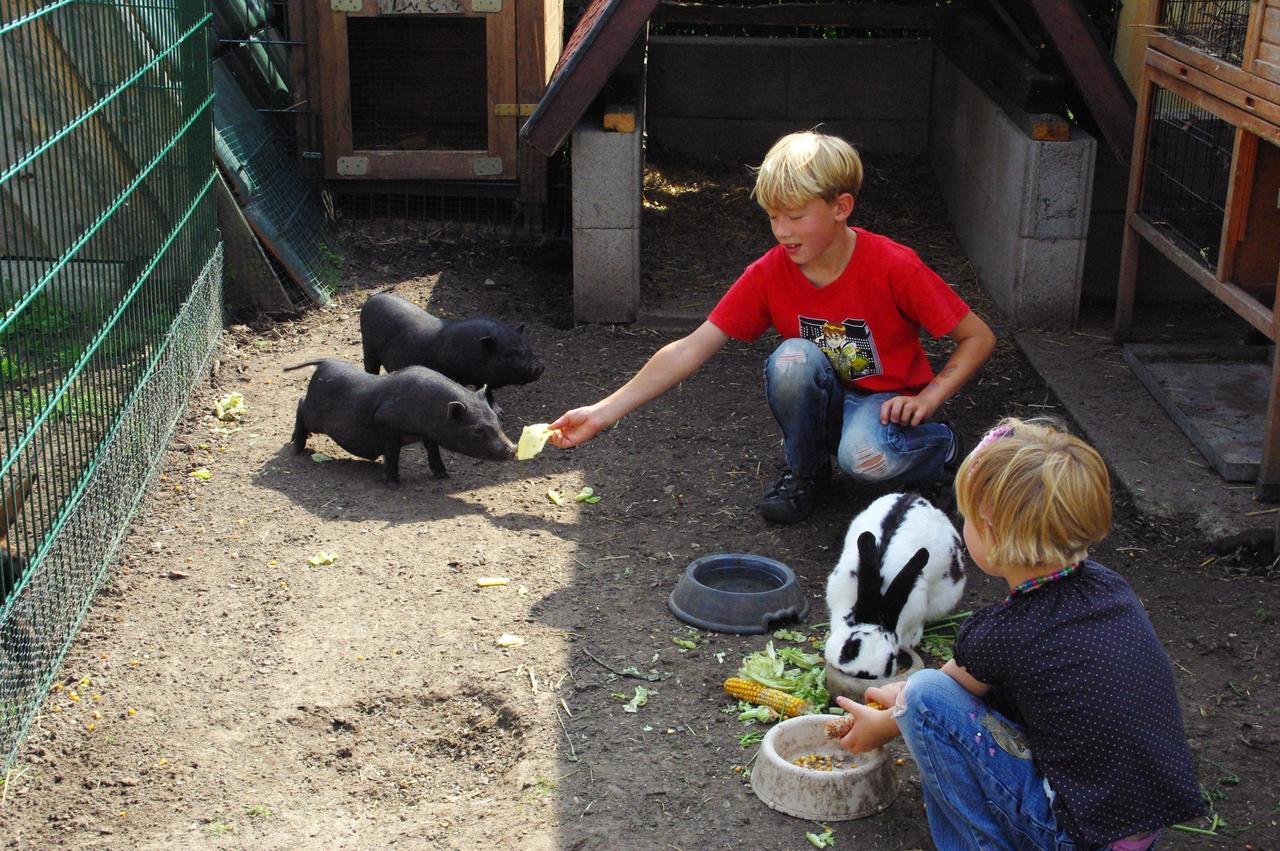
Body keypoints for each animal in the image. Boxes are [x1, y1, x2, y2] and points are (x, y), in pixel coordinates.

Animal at [286, 355, 514, 483]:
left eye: (497, 420)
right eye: (477, 430)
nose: (512, 448)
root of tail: (325, 362)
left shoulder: (428, 434)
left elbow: (433, 451)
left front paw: (444, 476)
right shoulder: (386, 423)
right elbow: (393, 454)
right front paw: (393, 484)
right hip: (314, 414)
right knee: (300, 403)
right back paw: (296, 449)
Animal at [355, 290, 545, 406]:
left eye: (527, 345)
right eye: (508, 353)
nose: (539, 366)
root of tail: (372, 298)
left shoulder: (482, 379)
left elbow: (487, 391)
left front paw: (499, 410)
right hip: (368, 347)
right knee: (370, 367)